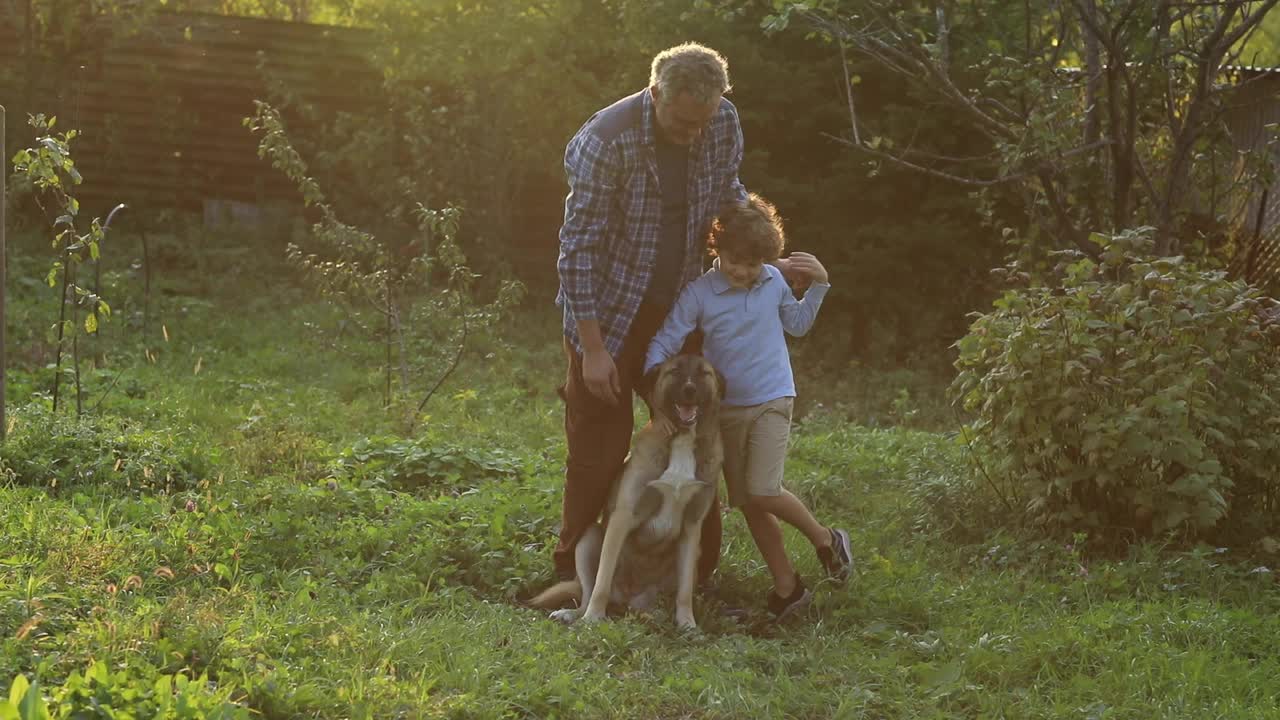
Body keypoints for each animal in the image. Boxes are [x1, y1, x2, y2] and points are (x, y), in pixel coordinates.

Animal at [529, 353, 727, 627]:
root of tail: (626, 600)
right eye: (675, 371)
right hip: (589, 537)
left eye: (702, 373)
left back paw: (653, 615)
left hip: (689, 558)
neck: (683, 439)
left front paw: (688, 623)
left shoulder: (691, 526)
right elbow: (602, 580)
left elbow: (685, 591)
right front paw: (594, 618)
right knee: (587, 591)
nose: (690, 390)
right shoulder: (623, 517)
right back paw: (574, 614)